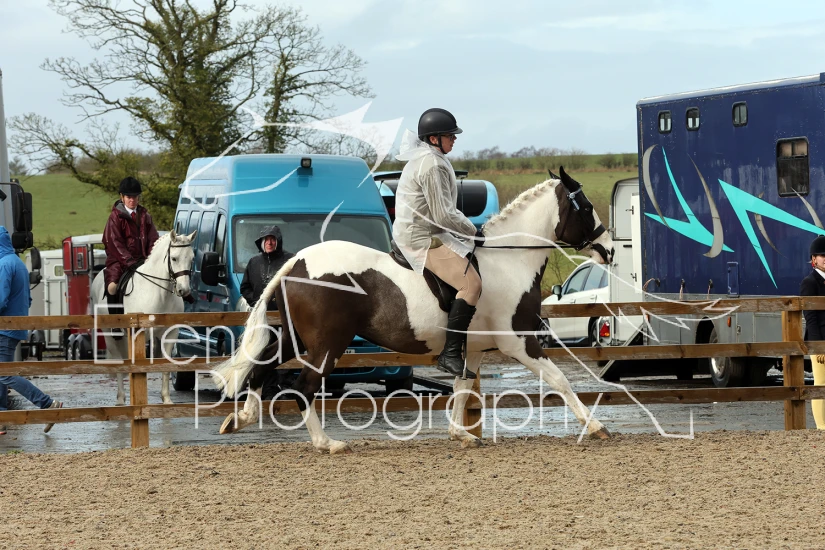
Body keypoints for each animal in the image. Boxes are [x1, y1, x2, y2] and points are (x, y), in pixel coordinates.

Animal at [91, 230, 197, 405]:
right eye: (174, 258)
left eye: (192, 258)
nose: (184, 290)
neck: (158, 293)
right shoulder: (138, 334)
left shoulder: (170, 334)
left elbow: (166, 365)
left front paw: (166, 399)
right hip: (110, 336)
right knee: (119, 362)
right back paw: (121, 399)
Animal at [213, 166, 614, 453]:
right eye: (585, 207)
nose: (609, 250)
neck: (507, 260)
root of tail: (296, 262)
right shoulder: (519, 342)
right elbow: (559, 380)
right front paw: (596, 426)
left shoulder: (475, 346)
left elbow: (462, 385)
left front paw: (461, 435)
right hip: (328, 344)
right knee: (304, 386)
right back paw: (327, 443)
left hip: (299, 338)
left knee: (262, 364)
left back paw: (241, 418)